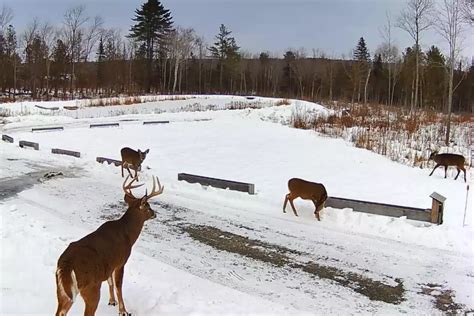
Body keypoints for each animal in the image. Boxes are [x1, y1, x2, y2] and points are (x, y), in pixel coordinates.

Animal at [54, 175, 163, 316]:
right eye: (148, 206)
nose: (155, 213)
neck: (128, 234)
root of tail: (65, 266)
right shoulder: (121, 261)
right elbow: (118, 286)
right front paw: (123, 311)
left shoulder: (109, 264)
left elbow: (110, 282)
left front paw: (112, 301)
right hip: (91, 287)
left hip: (62, 291)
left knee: (60, 311)